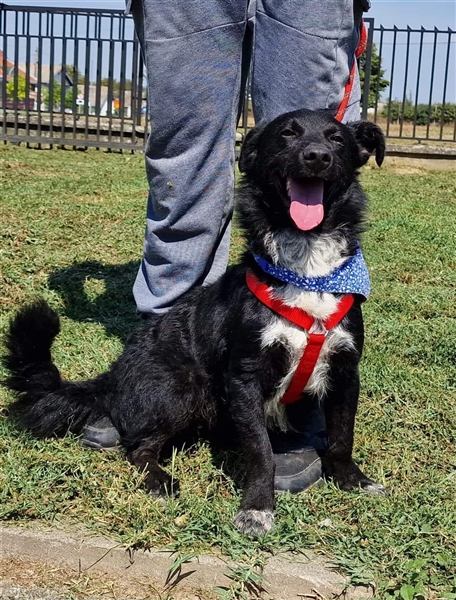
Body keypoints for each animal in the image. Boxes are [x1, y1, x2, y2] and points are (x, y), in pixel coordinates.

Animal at [3, 108, 387, 536]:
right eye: (287, 133)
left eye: (337, 138)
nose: (317, 156)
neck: (307, 270)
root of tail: (113, 373)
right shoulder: (244, 378)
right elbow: (260, 450)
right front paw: (257, 507)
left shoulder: (344, 372)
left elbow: (341, 436)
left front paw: (352, 480)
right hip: (183, 388)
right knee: (137, 448)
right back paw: (158, 479)